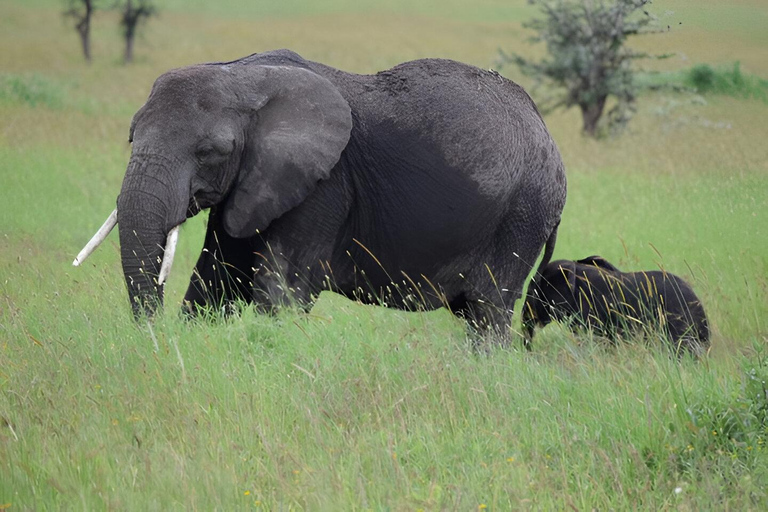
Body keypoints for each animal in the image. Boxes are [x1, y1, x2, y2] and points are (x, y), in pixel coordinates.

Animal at [75, 49, 568, 344]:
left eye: (210, 152)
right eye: (131, 137)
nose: (154, 339)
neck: (241, 74)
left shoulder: (325, 185)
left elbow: (279, 290)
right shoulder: (255, 182)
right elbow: (216, 279)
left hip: (523, 214)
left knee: (489, 311)